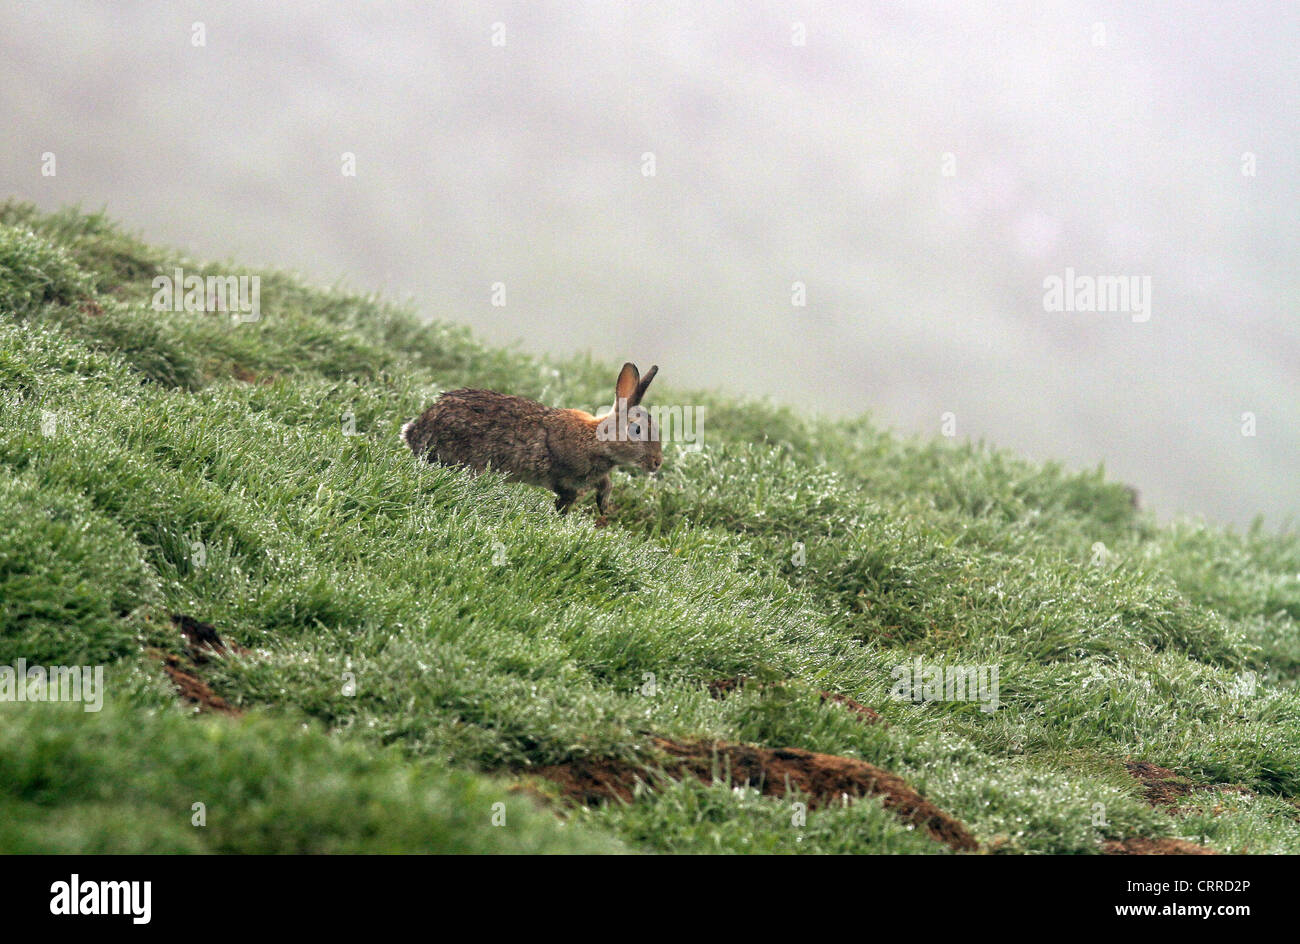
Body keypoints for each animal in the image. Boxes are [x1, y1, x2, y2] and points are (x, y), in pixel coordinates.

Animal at [402, 362, 662, 515]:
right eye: (636, 430)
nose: (657, 463)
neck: (596, 440)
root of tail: (417, 430)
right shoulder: (567, 478)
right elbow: (566, 499)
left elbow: (606, 483)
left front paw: (603, 504)